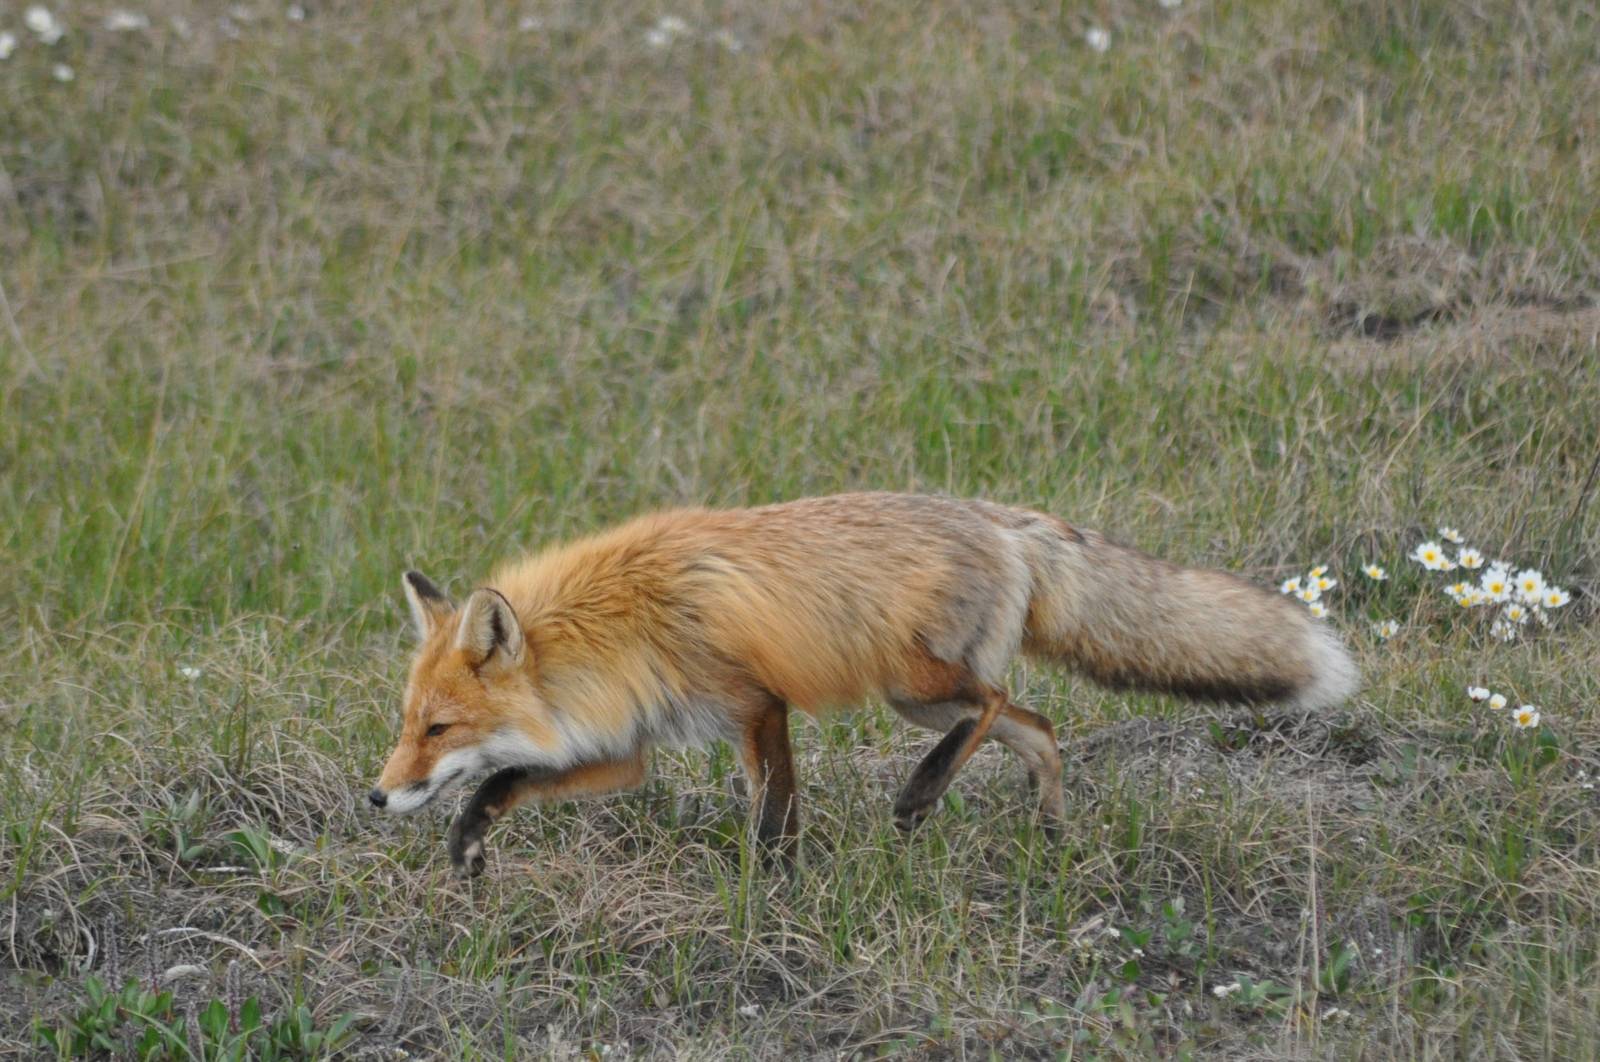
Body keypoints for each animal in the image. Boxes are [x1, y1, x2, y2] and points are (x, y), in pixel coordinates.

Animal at [370, 492, 1358, 877]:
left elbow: (775, 809)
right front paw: (468, 842)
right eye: (408, 724)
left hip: (914, 686)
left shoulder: (753, 702)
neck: (620, 623)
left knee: (995, 708)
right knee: (1038, 724)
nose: (376, 797)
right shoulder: (630, 747)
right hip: (923, 695)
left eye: (437, 731)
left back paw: (921, 795)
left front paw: (769, 885)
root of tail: (1001, 518)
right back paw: (1048, 829)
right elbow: (509, 781)